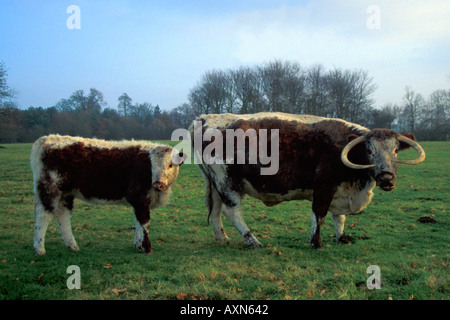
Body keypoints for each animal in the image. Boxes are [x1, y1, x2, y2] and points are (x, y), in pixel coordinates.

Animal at [31, 134, 185, 255]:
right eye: (152, 165)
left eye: (171, 164)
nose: (158, 184)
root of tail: (45, 140)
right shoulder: (139, 198)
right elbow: (144, 223)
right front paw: (147, 248)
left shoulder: (140, 202)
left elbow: (138, 223)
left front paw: (138, 245)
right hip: (49, 190)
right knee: (43, 216)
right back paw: (39, 249)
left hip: (66, 193)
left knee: (63, 216)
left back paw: (72, 245)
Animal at [189, 112, 426, 250]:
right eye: (369, 151)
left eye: (395, 150)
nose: (386, 178)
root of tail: (205, 118)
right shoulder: (323, 187)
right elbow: (318, 215)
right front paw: (316, 243)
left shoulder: (340, 191)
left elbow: (339, 218)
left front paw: (341, 237)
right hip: (227, 182)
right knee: (232, 211)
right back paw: (252, 240)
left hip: (214, 184)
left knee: (215, 211)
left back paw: (223, 239)